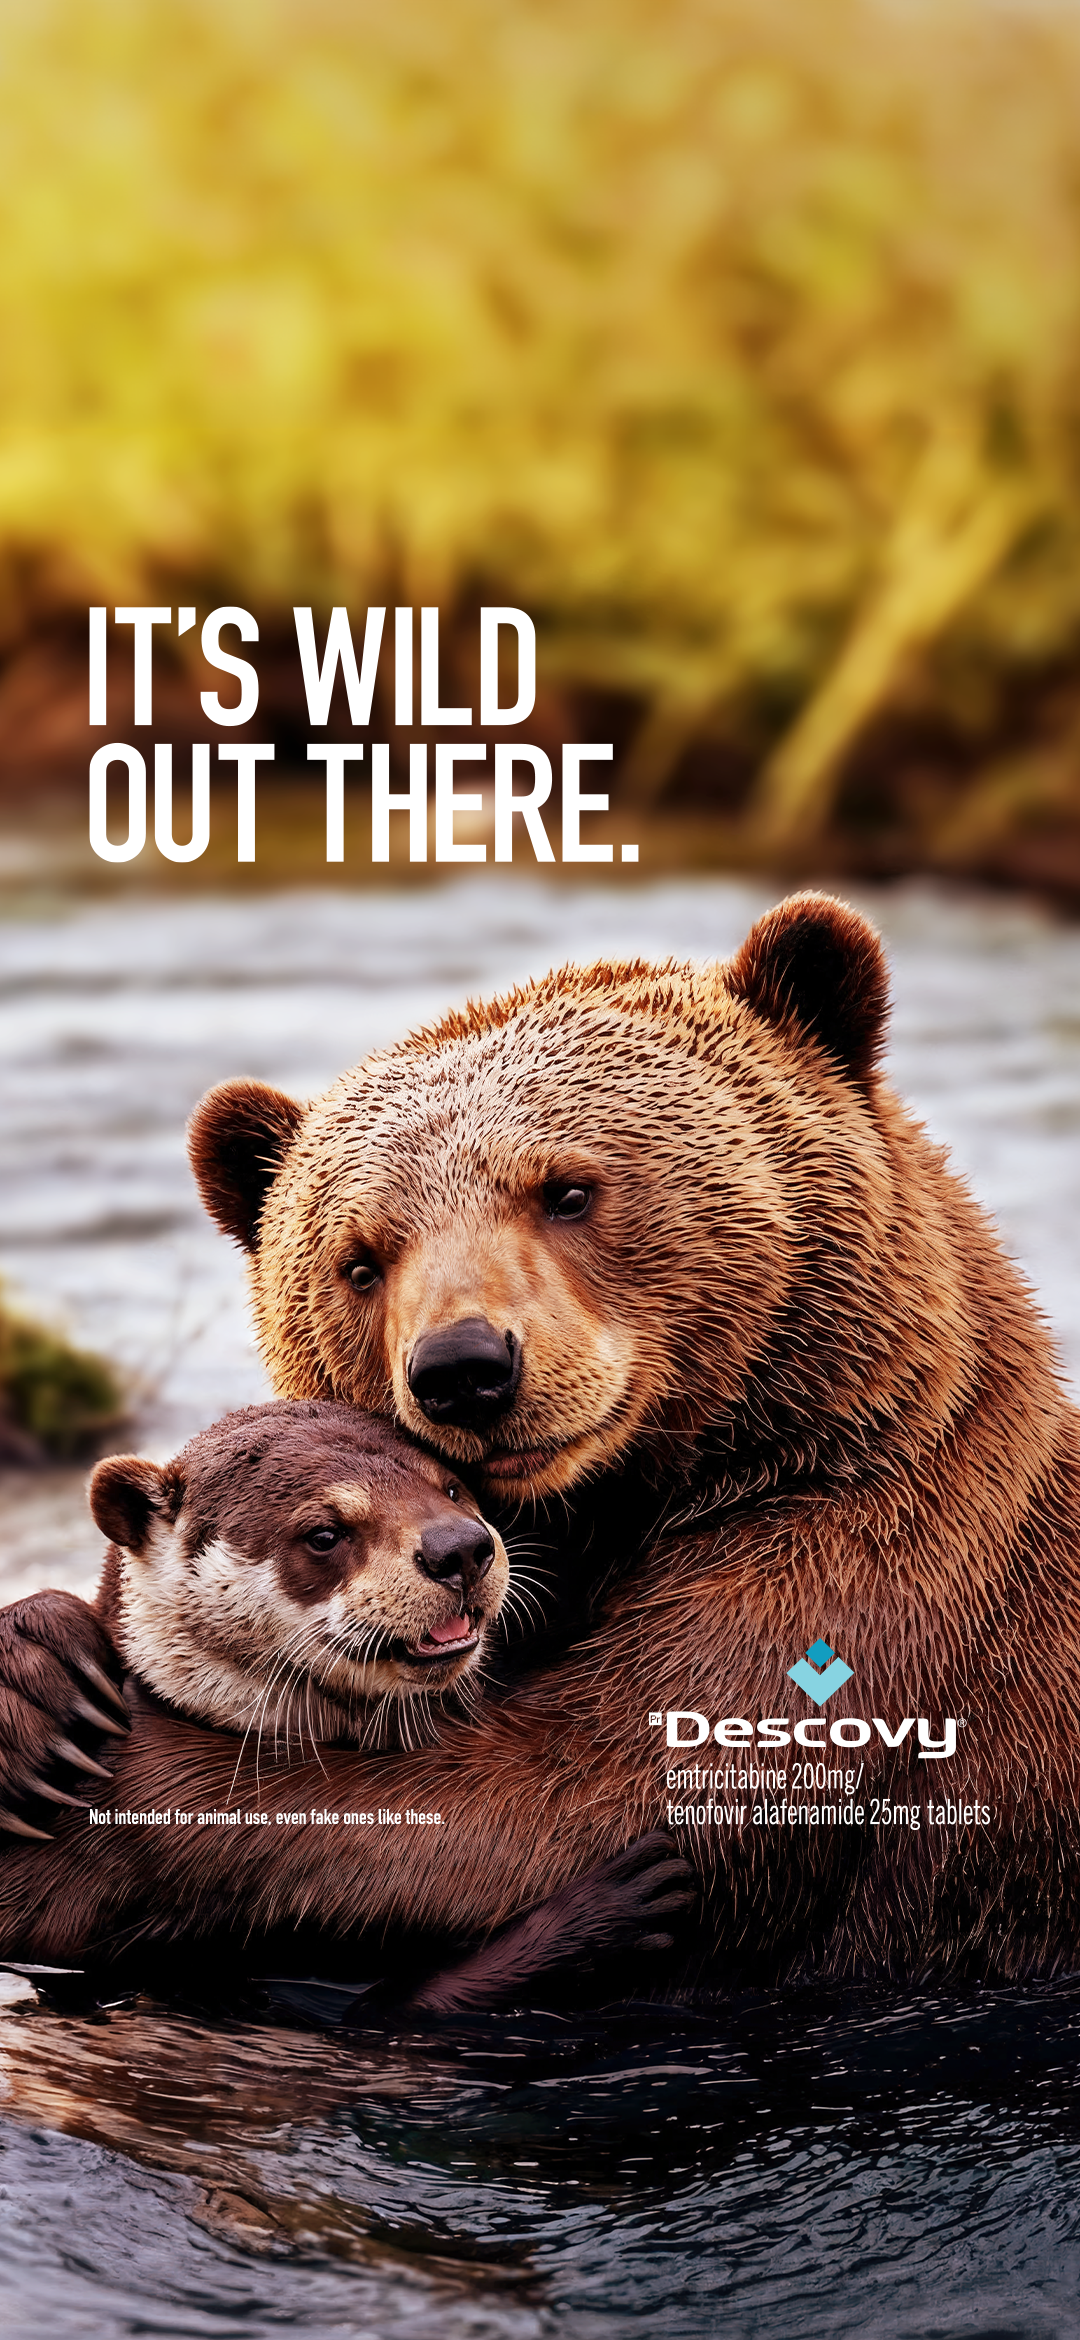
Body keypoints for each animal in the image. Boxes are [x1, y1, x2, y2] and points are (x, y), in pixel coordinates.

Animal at [1, 890, 1078, 1985]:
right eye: (361, 1258)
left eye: (567, 1189)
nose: (464, 1368)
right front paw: (39, 1681)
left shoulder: (850, 1569)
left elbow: (564, 1796)